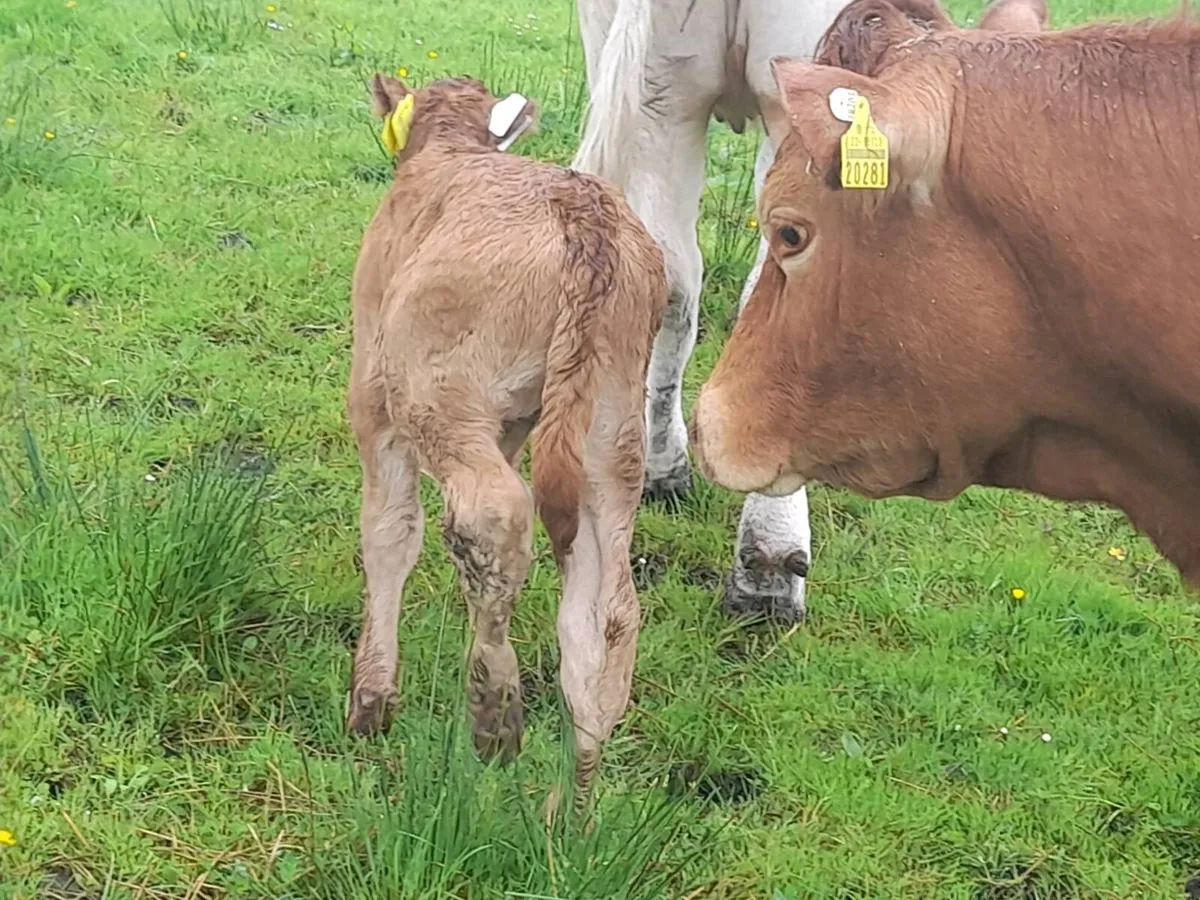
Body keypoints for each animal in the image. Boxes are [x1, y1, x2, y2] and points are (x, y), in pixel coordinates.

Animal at [346, 74, 669, 805]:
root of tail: (586, 214)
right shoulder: (515, 425)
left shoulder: (373, 395)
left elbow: (388, 533)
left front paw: (371, 700)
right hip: (610, 433)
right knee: (605, 618)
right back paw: (573, 812)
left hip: (435, 392)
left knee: (495, 513)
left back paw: (494, 712)